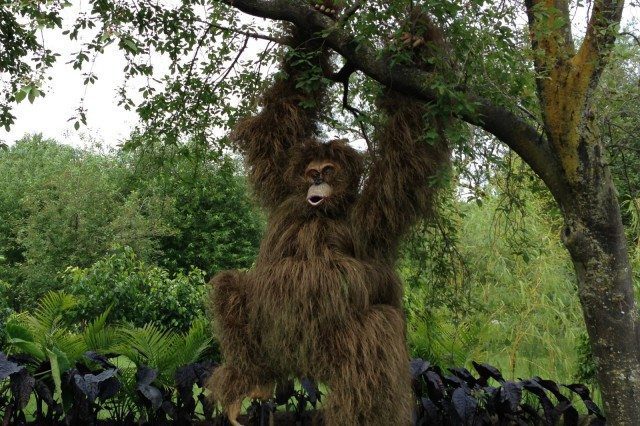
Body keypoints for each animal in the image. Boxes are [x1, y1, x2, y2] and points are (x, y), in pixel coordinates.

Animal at [206, 6, 451, 426]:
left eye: (329, 170)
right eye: (310, 172)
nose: (317, 180)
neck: (321, 212)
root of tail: (300, 365)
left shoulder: (373, 211)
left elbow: (409, 149)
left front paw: (416, 46)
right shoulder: (282, 184)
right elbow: (284, 111)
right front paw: (318, 16)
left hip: (333, 348)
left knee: (376, 334)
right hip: (273, 343)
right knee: (230, 287)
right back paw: (248, 377)